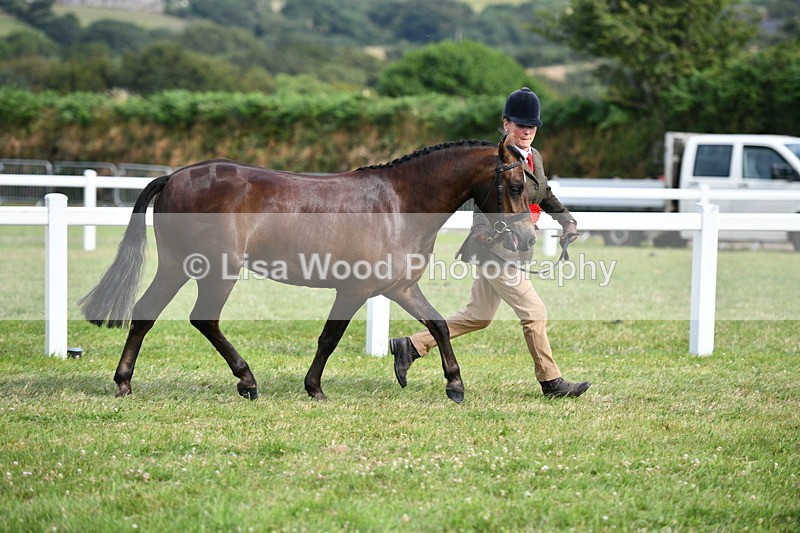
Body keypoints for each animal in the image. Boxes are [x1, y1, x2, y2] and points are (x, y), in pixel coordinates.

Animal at [79, 134, 536, 403]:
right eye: (516, 186)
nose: (528, 239)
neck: (399, 204)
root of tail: (174, 177)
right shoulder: (353, 291)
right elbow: (329, 339)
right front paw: (314, 388)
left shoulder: (400, 288)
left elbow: (439, 324)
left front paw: (454, 386)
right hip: (216, 272)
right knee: (203, 319)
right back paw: (247, 381)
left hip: (175, 267)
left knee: (145, 315)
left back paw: (124, 381)